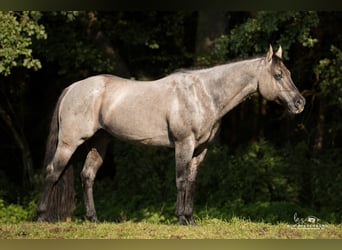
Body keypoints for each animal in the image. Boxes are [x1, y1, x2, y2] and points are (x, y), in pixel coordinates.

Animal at [36, 46, 304, 226]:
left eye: (289, 73)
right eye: (278, 75)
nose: (299, 103)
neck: (204, 93)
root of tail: (73, 87)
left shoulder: (200, 149)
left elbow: (192, 182)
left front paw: (191, 219)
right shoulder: (184, 144)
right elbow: (181, 180)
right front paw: (180, 219)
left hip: (100, 142)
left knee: (87, 176)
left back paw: (93, 219)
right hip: (69, 143)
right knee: (52, 173)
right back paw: (40, 216)